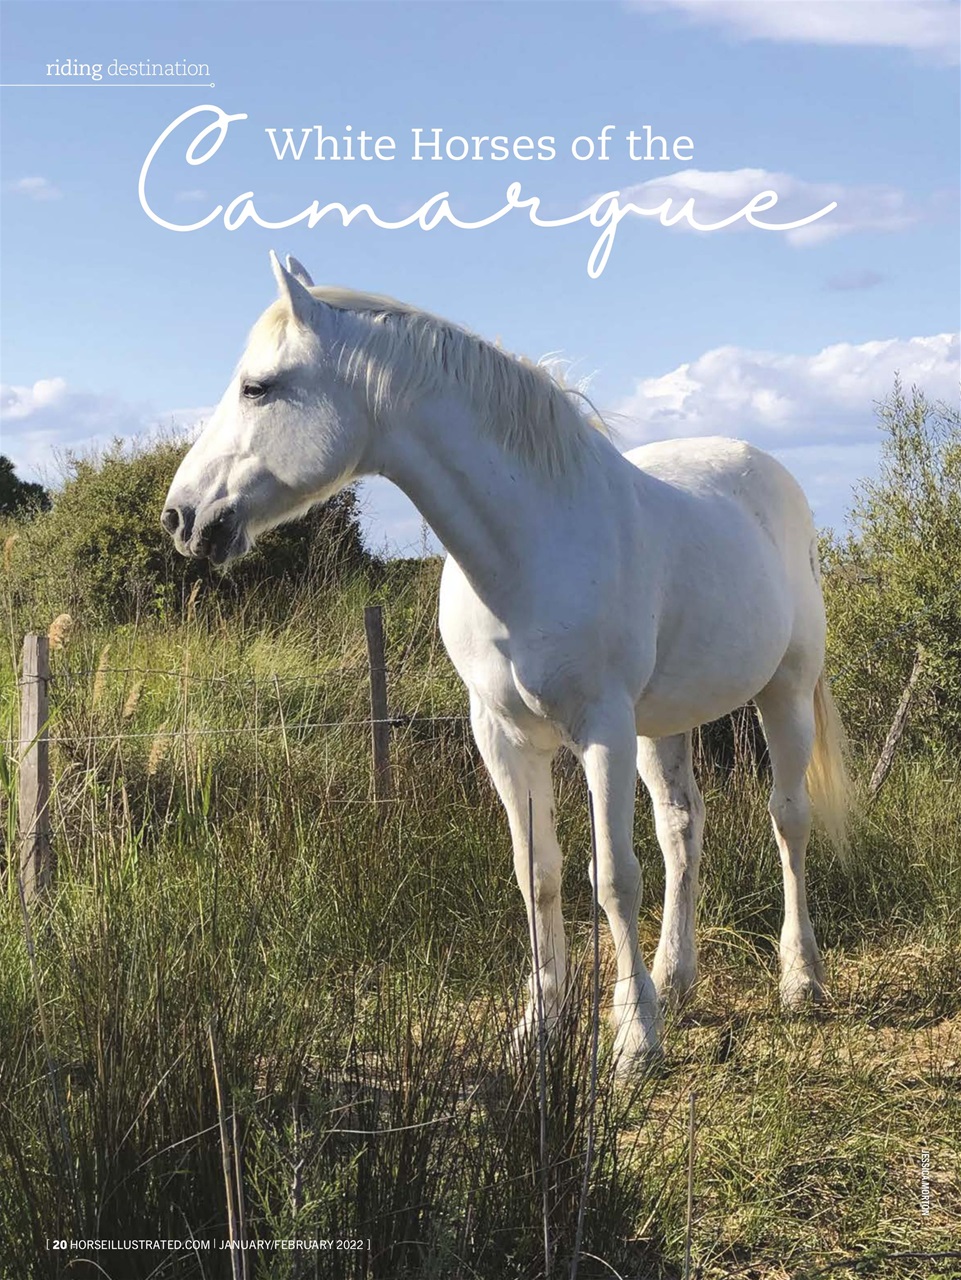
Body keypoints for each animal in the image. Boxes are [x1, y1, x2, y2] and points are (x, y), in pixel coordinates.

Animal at [161, 252, 849, 1075]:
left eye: (257, 386)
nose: (182, 517)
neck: (529, 546)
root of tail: (768, 473)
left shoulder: (602, 732)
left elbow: (612, 879)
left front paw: (633, 1038)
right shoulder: (502, 737)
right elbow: (538, 873)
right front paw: (540, 1024)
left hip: (784, 692)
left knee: (788, 820)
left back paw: (799, 979)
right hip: (664, 723)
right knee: (682, 828)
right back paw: (677, 977)